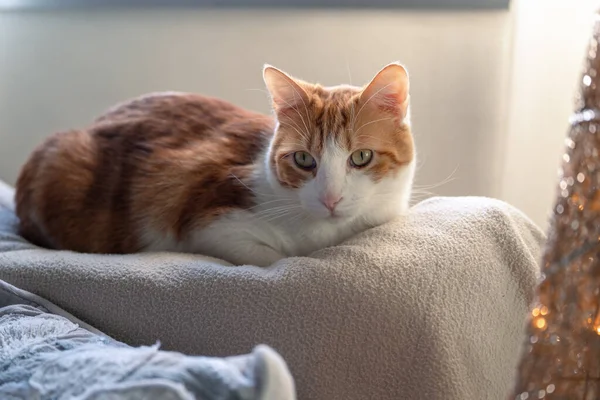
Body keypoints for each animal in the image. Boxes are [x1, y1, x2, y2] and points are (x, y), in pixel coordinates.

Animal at [16, 62, 414, 268]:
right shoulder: (209, 222)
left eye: (360, 157)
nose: (330, 199)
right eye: (304, 159)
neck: (328, 236)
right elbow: (271, 259)